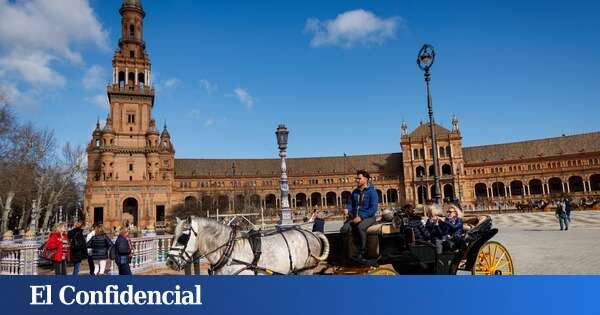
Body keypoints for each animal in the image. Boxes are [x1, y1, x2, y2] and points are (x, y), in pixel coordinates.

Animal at [166, 216, 330, 276]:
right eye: (173, 236)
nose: (170, 262)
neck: (229, 251)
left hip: (306, 270)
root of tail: (312, 233)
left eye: (183, 238)